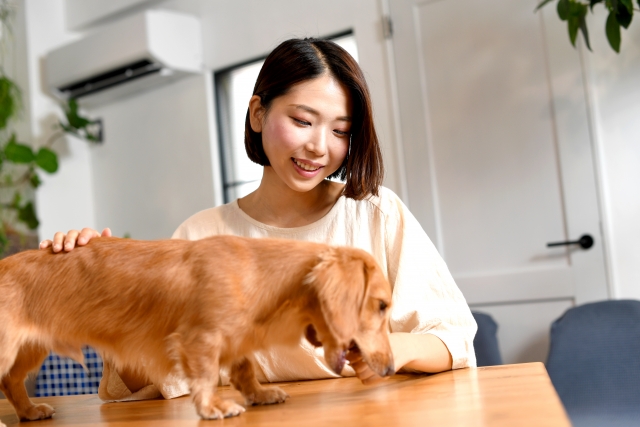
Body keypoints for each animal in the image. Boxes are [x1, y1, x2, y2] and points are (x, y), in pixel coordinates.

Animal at [0, 236, 392, 422]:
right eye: (382, 306)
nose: (388, 370)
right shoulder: (199, 340)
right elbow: (204, 376)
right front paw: (212, 406)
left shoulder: (235, 338)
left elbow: (244, 368)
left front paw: (259, 394)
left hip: (29, 351)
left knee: (10, 382)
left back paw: (28, 411)